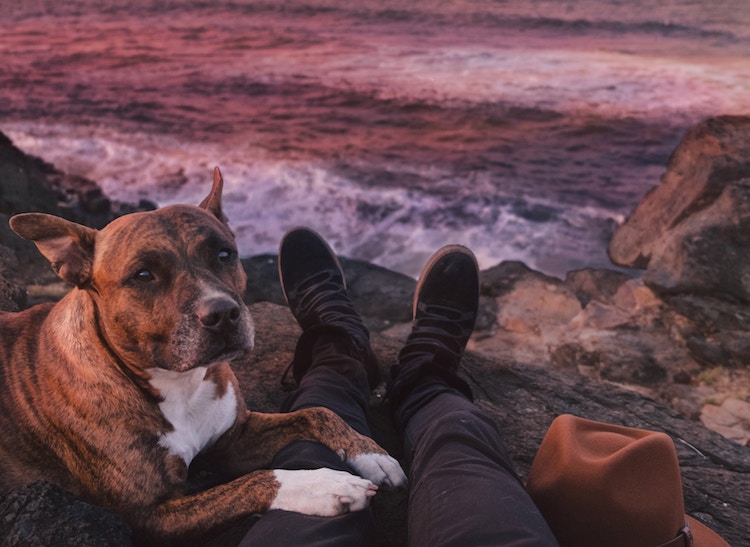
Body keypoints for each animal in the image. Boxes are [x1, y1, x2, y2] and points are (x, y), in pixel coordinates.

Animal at [0, 167, 408, 544]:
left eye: (225, 255)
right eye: (143, 274)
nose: (223, 314)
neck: (178, 383)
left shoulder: (234, 437)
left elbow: (317, 412)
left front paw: (371, 455)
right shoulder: (150, 516)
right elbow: (254, 481)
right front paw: (322, 487)